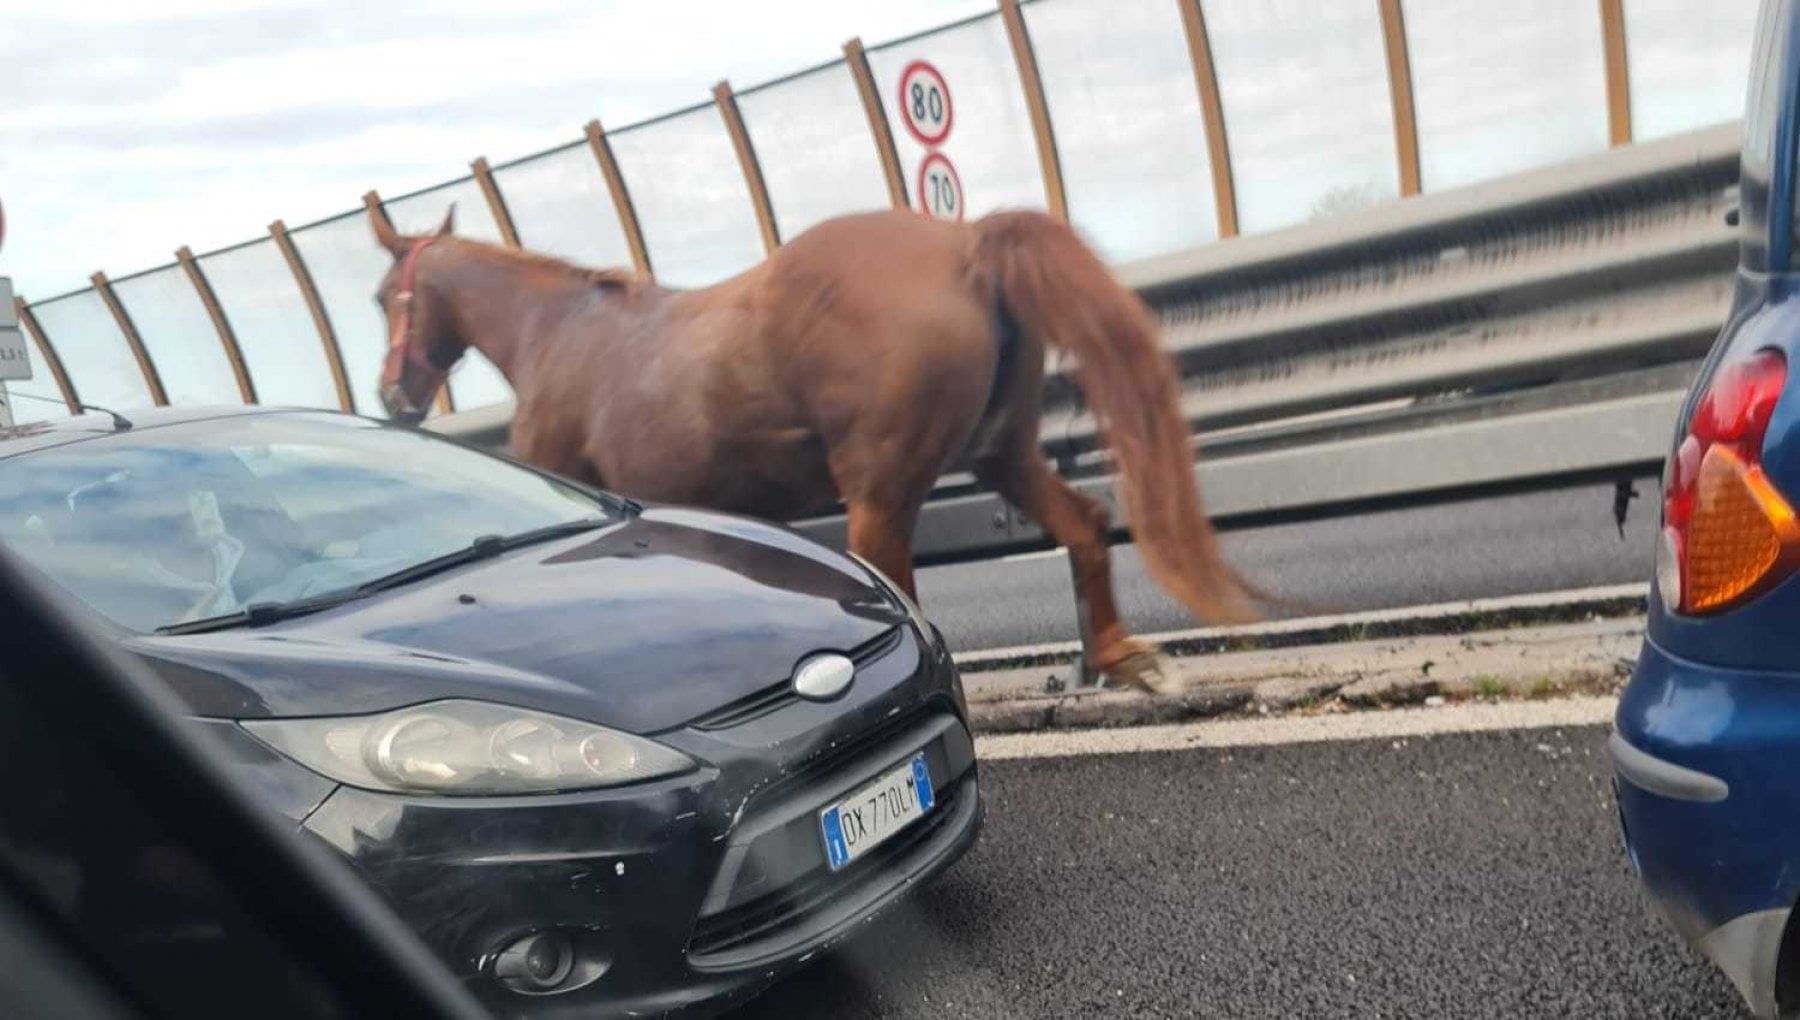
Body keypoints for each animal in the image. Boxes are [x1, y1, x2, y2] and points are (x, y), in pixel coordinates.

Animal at [365, 205, 1267, 694]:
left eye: (380, 296)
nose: (391, 397)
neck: (556, 335)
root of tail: (967, 246)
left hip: (881, 498)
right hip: (1002, 451)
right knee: (1083, 521)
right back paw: (1124, 658)